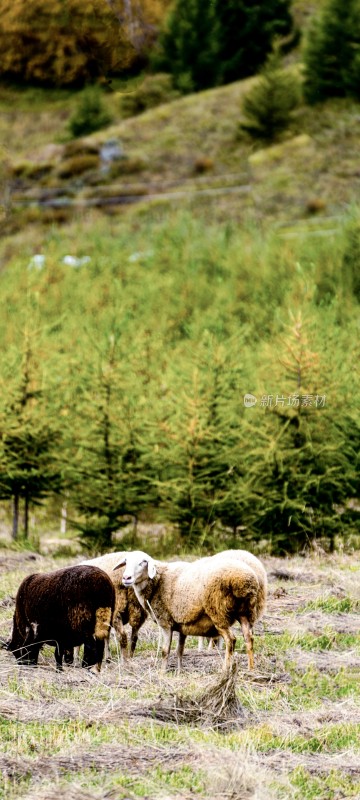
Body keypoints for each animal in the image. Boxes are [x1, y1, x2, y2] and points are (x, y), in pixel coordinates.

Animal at [114, 548, 266, 672]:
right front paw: (179, 671)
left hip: (218, 612)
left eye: (143, 562)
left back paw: (225, 669)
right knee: (249, 638)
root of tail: (242, 579)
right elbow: (179, 650)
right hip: (245, 612)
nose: (126, 578)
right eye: (126, 562)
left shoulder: (165, 622)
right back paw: (251, 668)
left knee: (231, 640)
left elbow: (165, 651)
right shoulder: (183, 623)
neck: (157, 582)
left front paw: (162, 672)